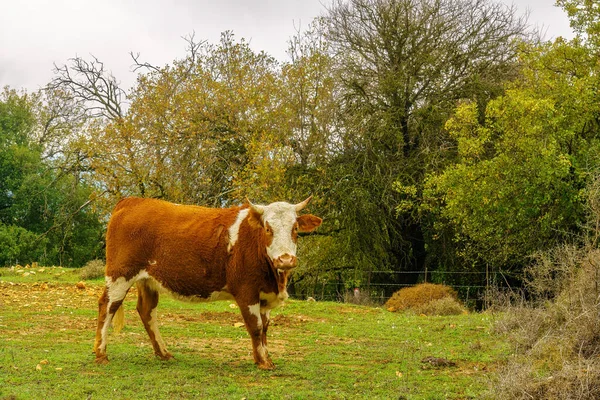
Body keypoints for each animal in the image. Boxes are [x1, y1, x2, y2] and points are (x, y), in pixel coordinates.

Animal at [92, 195, 322, 370]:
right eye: (268, 229)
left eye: (295, 229)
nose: (286, 259)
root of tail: (131, 201)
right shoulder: (246, 291)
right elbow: (255, 327)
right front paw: (264, 362)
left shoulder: (264, 296)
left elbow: (264, 328)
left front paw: (264, 357)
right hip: (120, 275)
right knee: (108, 306)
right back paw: (101, 354)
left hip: (148, 280)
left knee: (146, 311)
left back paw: (163, 353)